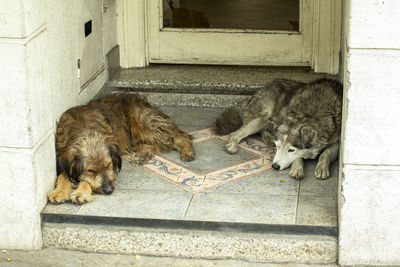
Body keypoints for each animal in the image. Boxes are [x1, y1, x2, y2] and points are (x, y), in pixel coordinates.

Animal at [48, 94, 195, 205]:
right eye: (91, 171)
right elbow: (63, 175)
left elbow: (85, 181)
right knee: (155, 144)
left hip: (141, 122)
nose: (109, 190)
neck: (82, 128)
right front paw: (59, 192)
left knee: (174, 138)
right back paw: (143, 155)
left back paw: (187, 151)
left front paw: (81, 193)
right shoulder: (63, 156)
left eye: (108, 165)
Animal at [214, 78, 342, 181]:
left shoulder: (337, 142)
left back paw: (268, 137)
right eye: (277, 147)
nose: (274, 166)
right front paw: (297, 168)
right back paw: (232, 145)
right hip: (262, 117)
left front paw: (322, 168)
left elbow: (326, 153)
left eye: (291, 150)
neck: (308, 114)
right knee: (237, 132)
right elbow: (298, 158)